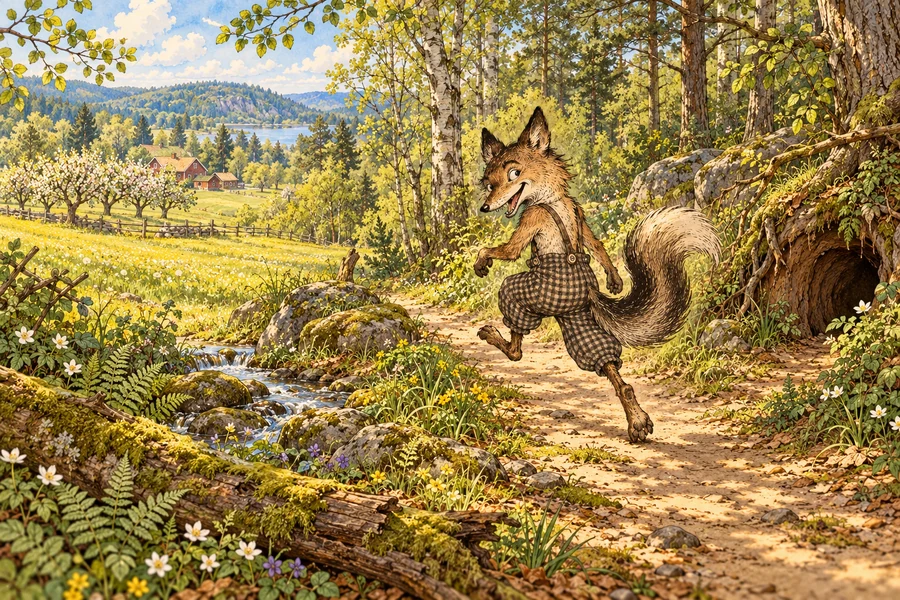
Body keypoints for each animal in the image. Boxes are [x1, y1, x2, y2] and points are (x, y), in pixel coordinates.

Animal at [474, 107, 720, 442]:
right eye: (489, 183)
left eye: (514, 174)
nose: (485, 208)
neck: (551, 197)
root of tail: (589, 293)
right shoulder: (578, 214)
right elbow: (595, 241)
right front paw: (615, 279)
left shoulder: (532, 217)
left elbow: (507, 250)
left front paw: (481, 262)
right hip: (579, 319)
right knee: (614, 371)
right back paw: (638, 422)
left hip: (534, 296)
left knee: (516, 343)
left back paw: (493, 336)